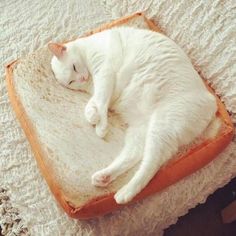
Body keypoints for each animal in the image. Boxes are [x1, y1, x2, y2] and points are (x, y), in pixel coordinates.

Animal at [48, 26, 218, 205]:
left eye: (74, 67)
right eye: (71, 82)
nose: (82, 78)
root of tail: (212, 102)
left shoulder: (105, 73)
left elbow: (101, 100)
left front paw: (100, 126)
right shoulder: (103, 89)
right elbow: (95, 102)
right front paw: (92, 116)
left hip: (163, 126)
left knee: (152, 163)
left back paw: (125, 193)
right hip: (141, 131)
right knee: (134, 155)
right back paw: (104, 177)